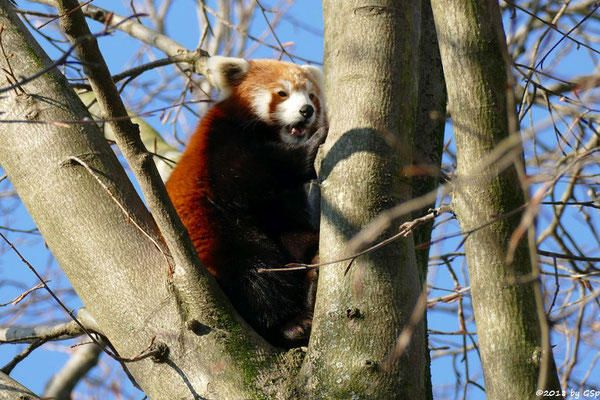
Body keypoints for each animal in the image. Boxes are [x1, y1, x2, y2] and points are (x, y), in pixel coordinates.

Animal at [165, 57, 328, 346]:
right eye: (282, 93)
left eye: (311, 95)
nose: (307, 110)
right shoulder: (219, 146)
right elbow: (256, 172)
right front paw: (313, 144)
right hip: (218, 241)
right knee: (254, 275)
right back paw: (290, 324)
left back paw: (312, 275)